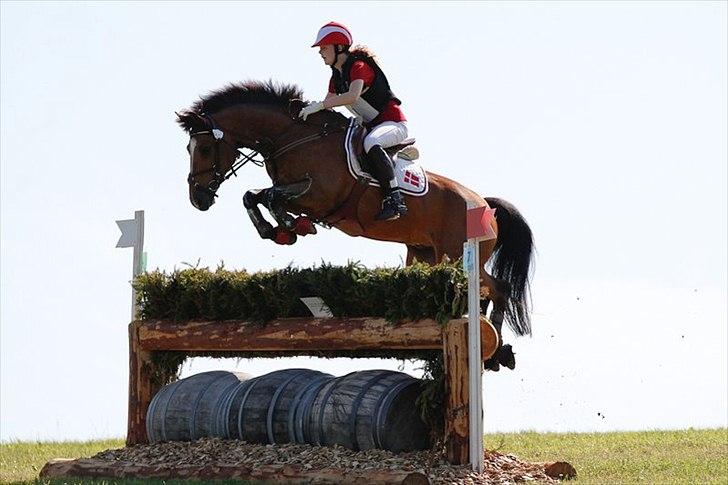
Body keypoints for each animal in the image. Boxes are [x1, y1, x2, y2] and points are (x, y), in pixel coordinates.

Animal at [177, 80, 534, 370]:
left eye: (205, 148)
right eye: (189, 148)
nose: (198, 199)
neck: (293, 137)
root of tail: (484, 204)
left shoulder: (319, 195)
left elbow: (270, 196)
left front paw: (290, 226)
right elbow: (254, 197)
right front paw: (278, 230)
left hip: (457, 254)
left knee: (499, 288)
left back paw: (498, 348)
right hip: (425, 256)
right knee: (484, 291)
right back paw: (494, 347)